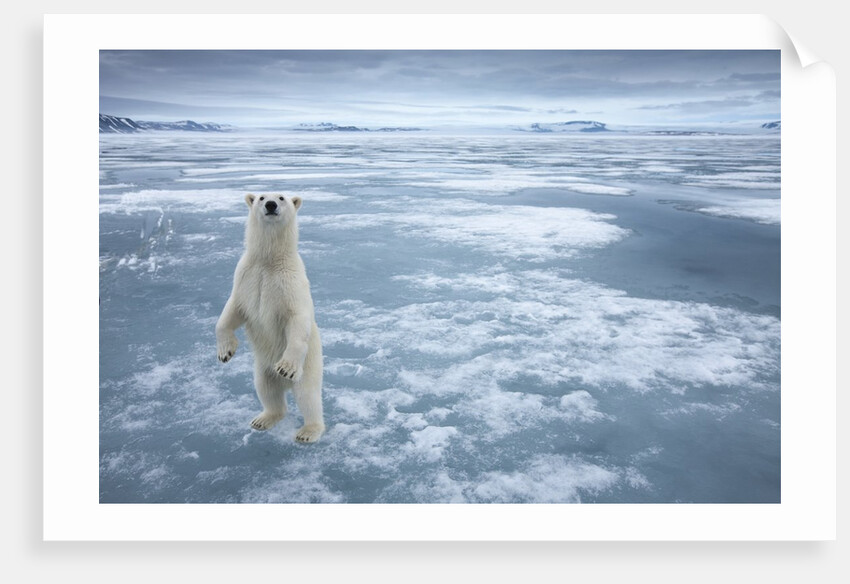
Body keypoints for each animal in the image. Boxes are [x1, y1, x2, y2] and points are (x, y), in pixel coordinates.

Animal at [216, 193, 325, 443]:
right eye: (261, 196)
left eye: (282, 197)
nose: (271, 205)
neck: (269, 260)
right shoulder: (246, 277)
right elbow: (231, 311)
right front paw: (225, 352)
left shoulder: (290, 283)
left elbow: (297, 319)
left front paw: (285, 367)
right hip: (262, 368)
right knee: (266, 390)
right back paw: (263, 419)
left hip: (309, 365)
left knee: (308, 396)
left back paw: (308, 431)